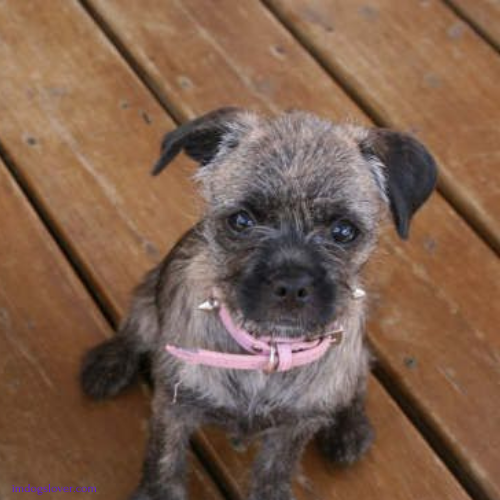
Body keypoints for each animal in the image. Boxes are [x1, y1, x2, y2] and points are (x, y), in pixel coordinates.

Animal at [80, 109, 436, 500]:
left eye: (344, 231)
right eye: (241, 221)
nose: (292, 285)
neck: (268, 349)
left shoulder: (293, 428)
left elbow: (274, 470)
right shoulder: (174, 408)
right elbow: (164, 462)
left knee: (357, 376)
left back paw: (350, 426)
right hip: (148, 300)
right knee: (134, 331)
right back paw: (109, 362)